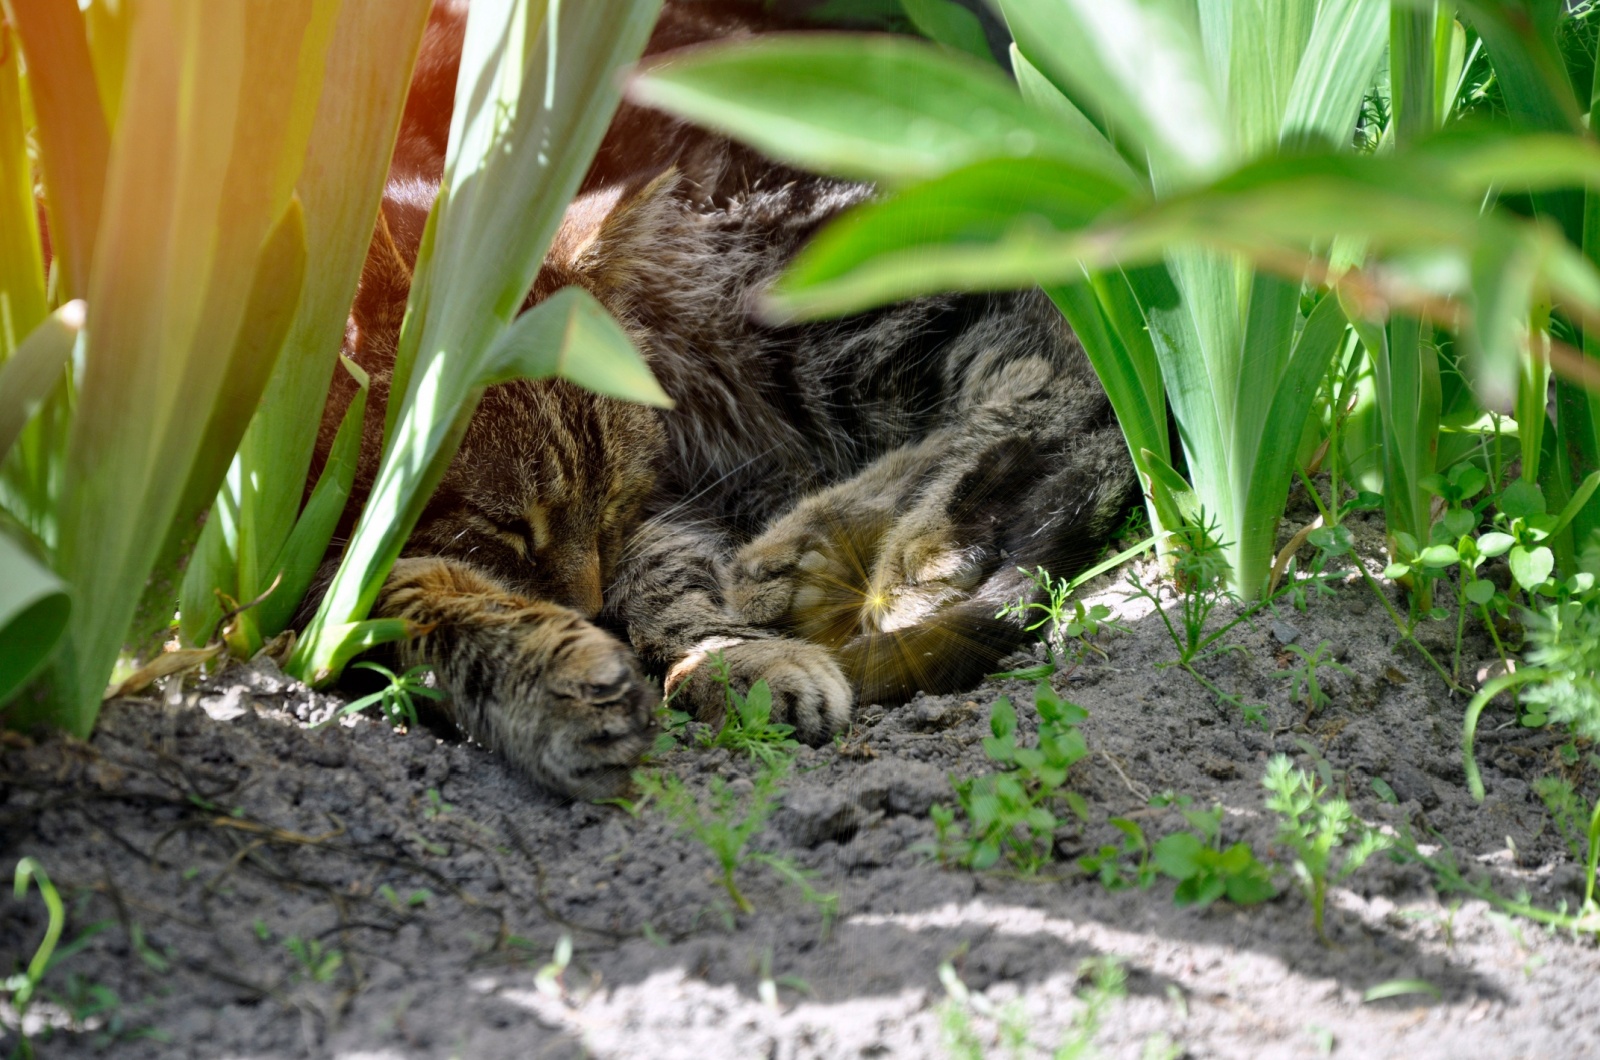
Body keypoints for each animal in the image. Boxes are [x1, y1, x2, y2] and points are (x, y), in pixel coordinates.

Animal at [308, 0, 1139, 797]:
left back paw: (874, 549)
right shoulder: (321, 581)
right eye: (504, 526)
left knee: (1063, 365)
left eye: (611, 498)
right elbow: (436, 602)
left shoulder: (654, 504)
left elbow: (671, 584)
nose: (591, 606)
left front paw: (736, 663)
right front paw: (560, 684)